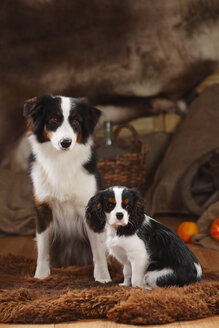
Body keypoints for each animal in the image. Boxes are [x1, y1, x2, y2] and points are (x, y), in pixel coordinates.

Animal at [23, 93, 111, 284]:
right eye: (53, 119)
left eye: (76, 122)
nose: (66, 142)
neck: (61, 161)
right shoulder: (42, 209)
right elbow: (43, 247)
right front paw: (41, 275)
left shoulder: (91, 209)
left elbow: (98, 250)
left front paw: (103, 277)